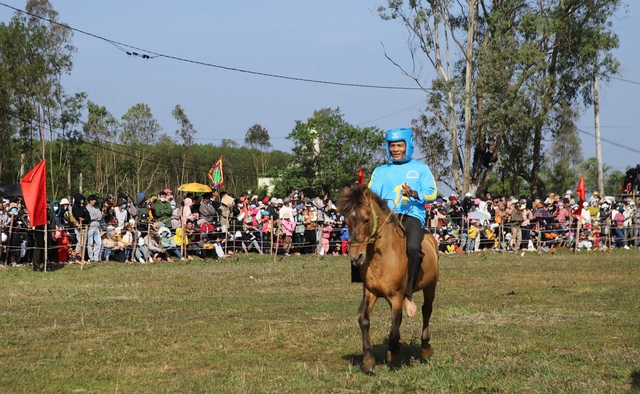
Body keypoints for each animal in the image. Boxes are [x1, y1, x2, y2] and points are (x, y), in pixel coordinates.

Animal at [336, 184, 440, 372]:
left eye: (366, 219)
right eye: (346, 220)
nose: (356, 256)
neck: (382, 257)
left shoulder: (397, 296)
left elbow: (394, 328)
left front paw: (393, 353)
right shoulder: (370, 293)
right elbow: (364, 321)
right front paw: (368, 360)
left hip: (430, 287)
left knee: (426, 310)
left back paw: (425, 348)